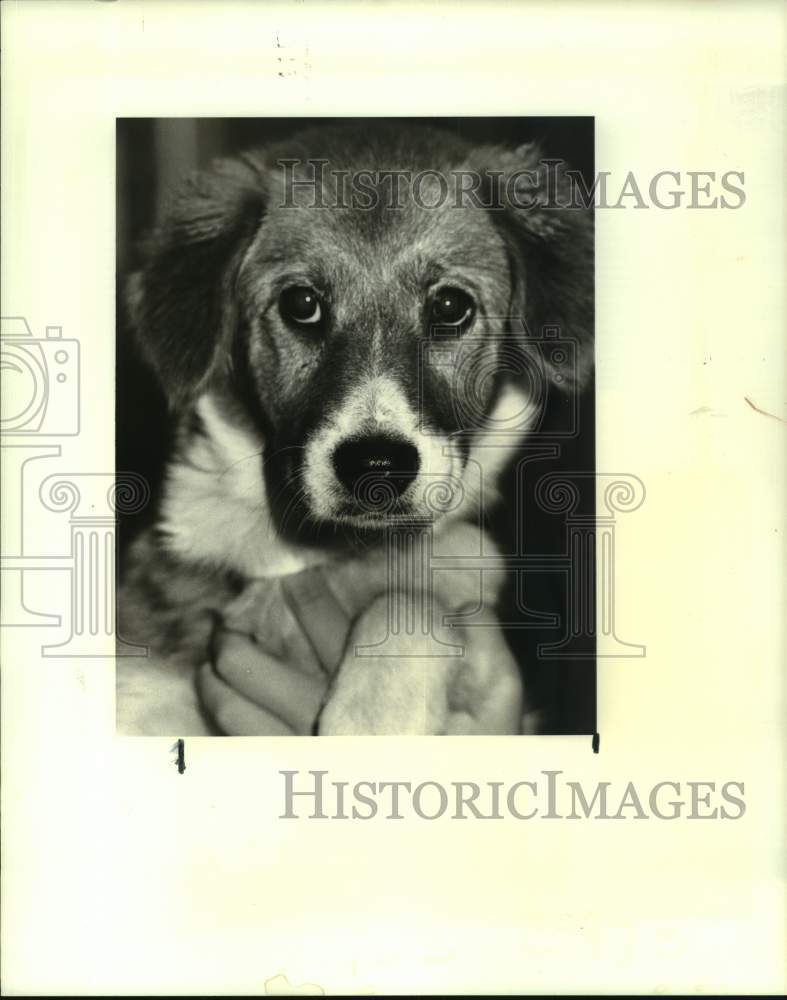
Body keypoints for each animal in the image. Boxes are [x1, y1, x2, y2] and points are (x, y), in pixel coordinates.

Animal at [117, 125, 596, 736]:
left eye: (450, 305)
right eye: (301, 303)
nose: (376, 468)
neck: (332, 553)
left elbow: (410, 605)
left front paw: (372, 720)